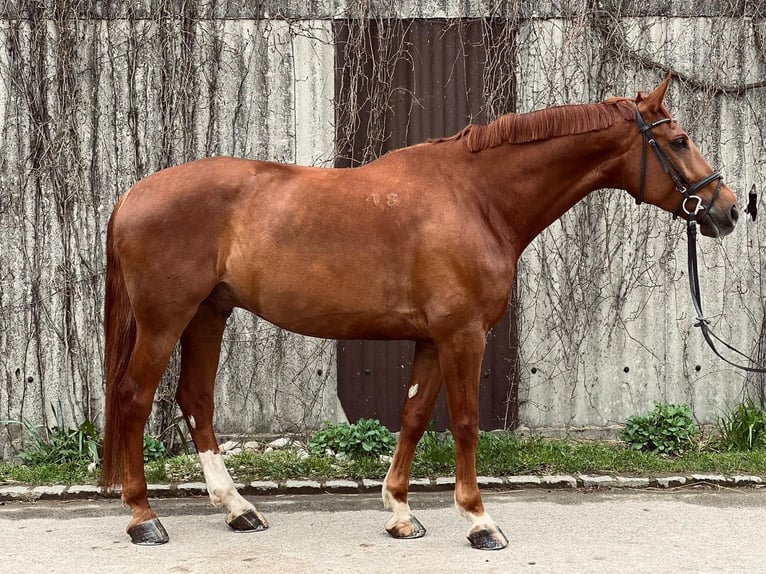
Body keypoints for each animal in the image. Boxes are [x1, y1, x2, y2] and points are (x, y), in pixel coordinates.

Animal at [99, 74, 740, 552]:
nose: (729, 209)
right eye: (679, 140)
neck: (477, 198)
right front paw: (479, 522)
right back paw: (144, 518)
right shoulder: (463, 336)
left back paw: (238, 510)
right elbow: (464, 423)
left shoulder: (433, 339)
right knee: (134, 398)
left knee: (195, 402)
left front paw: (401, 513)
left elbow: (411, 418)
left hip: (209, 315)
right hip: (165, 319)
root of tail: (133, 194)